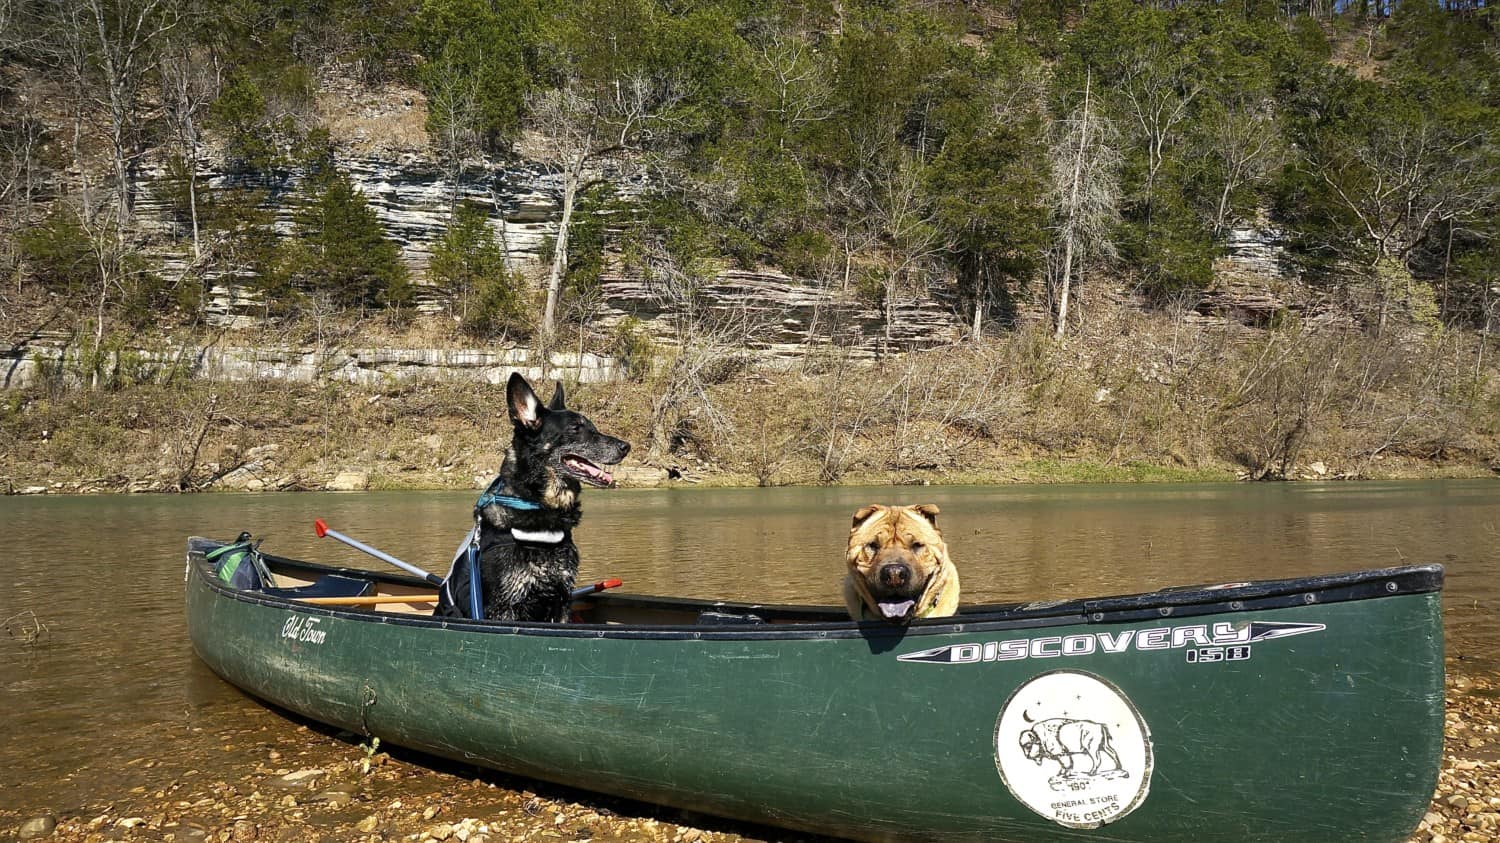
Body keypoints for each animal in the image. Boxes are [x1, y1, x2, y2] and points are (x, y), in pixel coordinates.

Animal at [435, 370, 627, 621]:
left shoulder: (561, 599)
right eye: (576, 428)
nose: (626, 446)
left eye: (592, 427)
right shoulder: (503, 608)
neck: (537, 505)